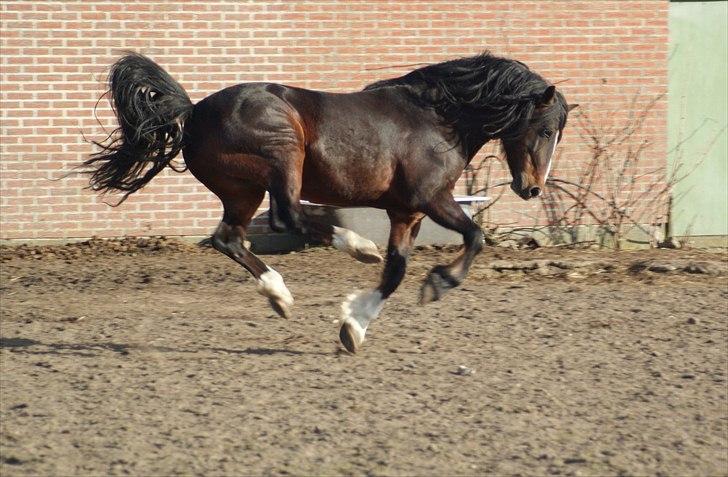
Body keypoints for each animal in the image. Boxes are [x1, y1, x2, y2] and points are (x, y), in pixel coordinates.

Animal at [84, 52, 576, 352]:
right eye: (545, 129)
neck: (439, 120)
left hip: (242, 190)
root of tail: (194, 111)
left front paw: (353, 328)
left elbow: (395, 272)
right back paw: (356, 247)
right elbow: (475, 235)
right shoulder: (431, 198)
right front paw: (438, 284)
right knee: (287, 217)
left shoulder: (407, 212)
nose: (533, 188)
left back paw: (280, 296)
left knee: (229, 238)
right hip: (284, 156)